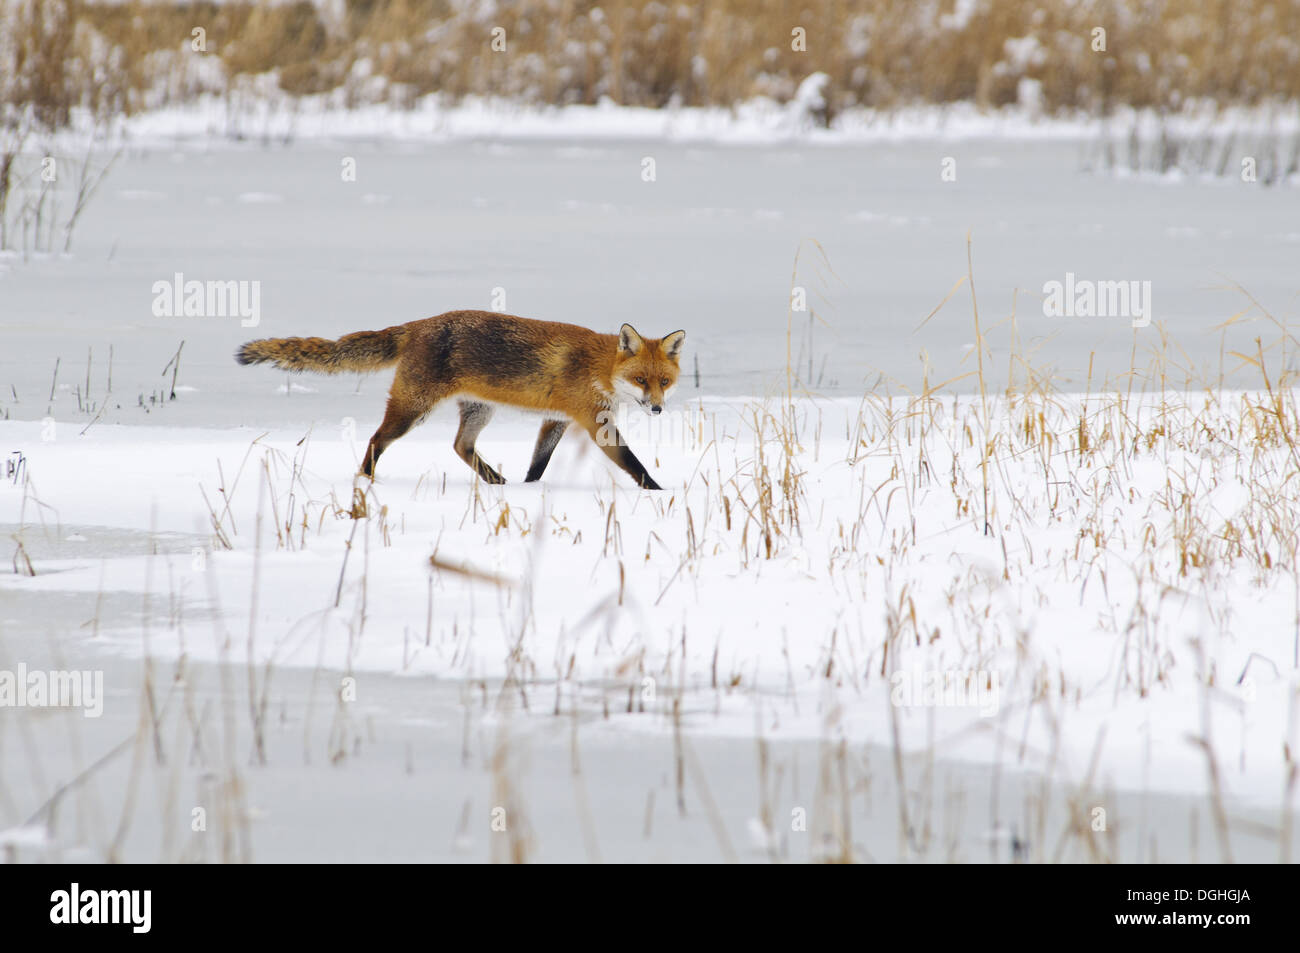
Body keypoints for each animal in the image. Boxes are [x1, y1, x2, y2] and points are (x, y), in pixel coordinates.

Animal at [235, 311, 685, 490]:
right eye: (640, 380)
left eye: (664, 381)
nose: (657, 408)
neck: (600, 367)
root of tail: (417, 325)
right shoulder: (595, 423)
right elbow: (634, 464)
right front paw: (660, 494)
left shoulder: (557, 418)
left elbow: (538, 463)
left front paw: (528, 490)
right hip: (412, 410)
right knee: (377, 440)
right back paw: (365, 482)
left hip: (477, 410)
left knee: (460, 446)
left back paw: (496, 483)